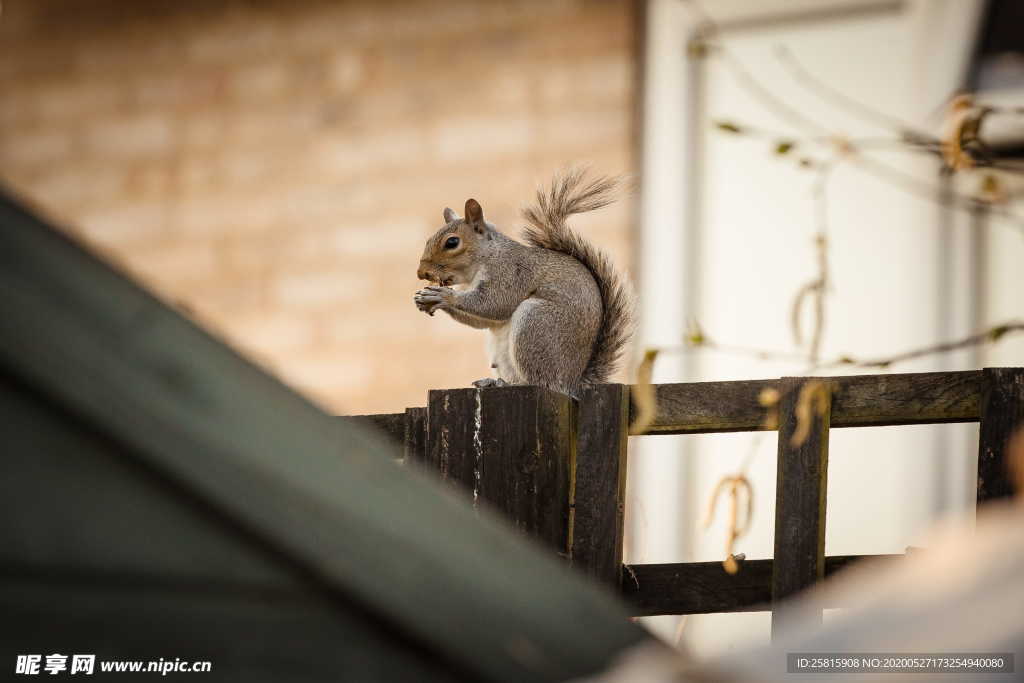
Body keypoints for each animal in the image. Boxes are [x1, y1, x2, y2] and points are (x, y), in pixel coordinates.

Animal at [415, 167, 630, 397]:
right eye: (428, 240)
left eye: (452, 242)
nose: (421, 273)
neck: (484, 258)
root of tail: (573, 382)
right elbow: (483, 320)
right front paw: (426, 299)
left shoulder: (510, 272)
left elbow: (494, 303)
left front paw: (444, 296)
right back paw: (494, 382)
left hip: (536, 323)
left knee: (542, 381)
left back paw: (510, 384)